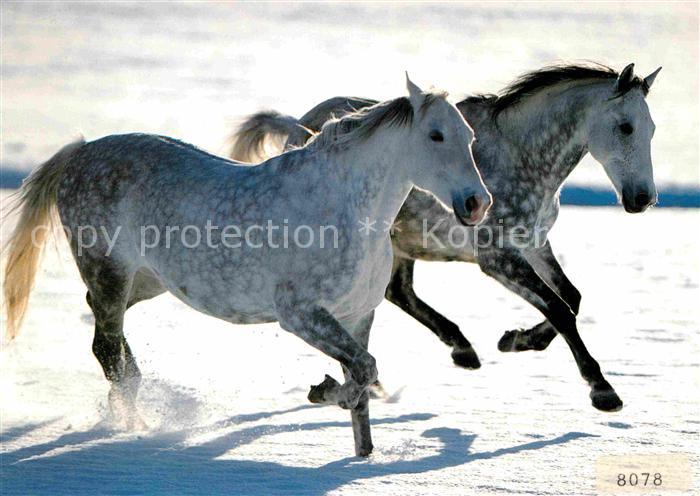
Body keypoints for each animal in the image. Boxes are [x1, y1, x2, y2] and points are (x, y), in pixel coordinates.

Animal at [2, 76, 491, 457]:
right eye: (435, 136)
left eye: (469, 136)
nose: (477, 203)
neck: (344, 208)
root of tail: (80, 152)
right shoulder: (301, 315)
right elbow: (364, 372)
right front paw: (322, 391)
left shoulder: (359, 315)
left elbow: (363, 384)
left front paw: (363, 456)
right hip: (109, 270)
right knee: (105, 346)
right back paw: (136, 424)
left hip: (145, 281)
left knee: (106, 330)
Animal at [229, 62, 662, 412]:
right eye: (626, 126)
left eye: (653, 129)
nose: (643, 199)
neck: (521, 156)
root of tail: (299, 125)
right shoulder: (498, 257)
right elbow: (559, 308)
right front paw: (602, 390)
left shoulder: (535, 244)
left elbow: (571, 299)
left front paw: (515, 340)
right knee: (392, 295)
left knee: (400, 292)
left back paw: (458, 351)